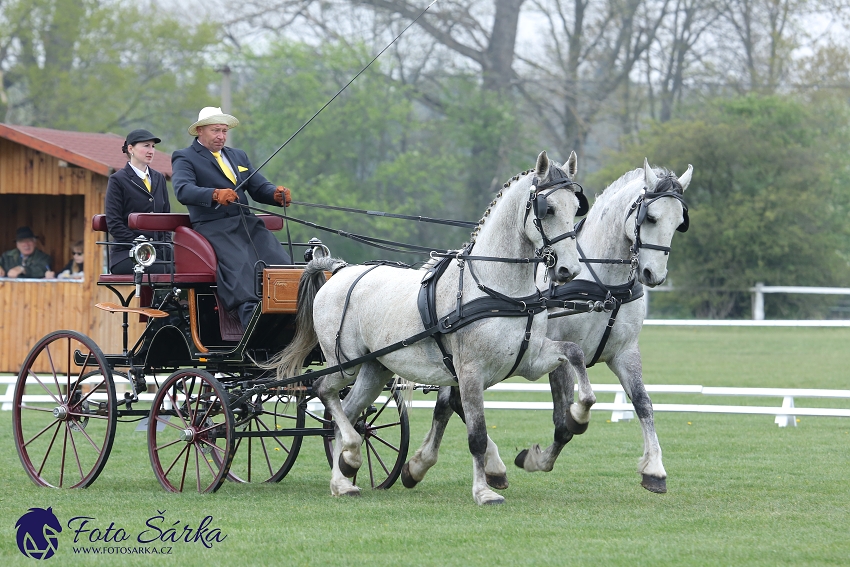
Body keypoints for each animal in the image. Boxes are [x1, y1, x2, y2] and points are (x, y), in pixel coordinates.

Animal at [274, 151, 588, 506]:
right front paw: (483, 491)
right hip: (344, 364)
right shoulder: (469, 372)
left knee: (350, 411)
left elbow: (574, 353)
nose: (569, 269)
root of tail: (339, 270)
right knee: (324, 392)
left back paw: (343, 477)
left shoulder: (530, 362)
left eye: (575, 208)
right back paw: (351, 455)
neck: (497, 289)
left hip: (374, 368)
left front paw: (581, 412)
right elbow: (477, 435)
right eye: (547, 210)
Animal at [408, 158, 692, 494]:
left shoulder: (625, 353)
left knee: (450, 402)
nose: (653, 274)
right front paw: (538, 458)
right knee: (450, 403)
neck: (603, 284)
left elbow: (643, 404)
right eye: (650, 217)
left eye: (679, 222)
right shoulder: (560, 356)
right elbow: (564, 421)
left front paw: (654, 469)